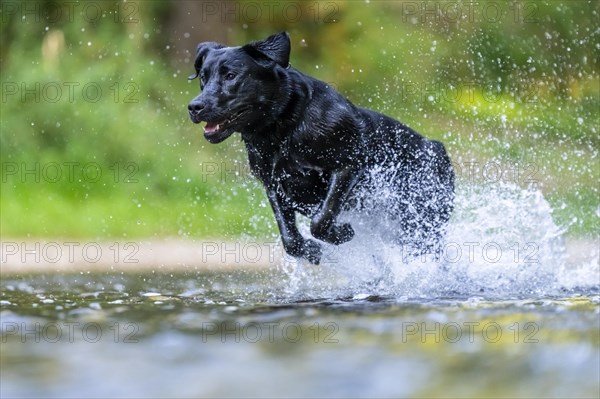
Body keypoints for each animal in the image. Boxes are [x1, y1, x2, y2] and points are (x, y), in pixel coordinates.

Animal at [188, 32, 454, 264]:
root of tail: (435, 146)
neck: (284, 129)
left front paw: (342, 233)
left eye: (231, 75)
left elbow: (321, 218)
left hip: (423, 219)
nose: (194, 106)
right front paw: (310, 250)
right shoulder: (274, 185)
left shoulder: (348, 165)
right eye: (203, 77)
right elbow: (289, 238)